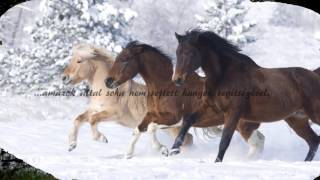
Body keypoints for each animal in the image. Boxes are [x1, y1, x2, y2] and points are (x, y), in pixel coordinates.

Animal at [62, 43, 192, 157]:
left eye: (79, 61)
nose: (64, 78)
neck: (107, 90)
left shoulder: (114, 114)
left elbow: (92, 120)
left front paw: (102, 138)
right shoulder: (94, 109)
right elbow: (78, 119)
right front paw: (71, 145)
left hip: (172, 126)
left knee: (188, 139)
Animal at [105, 41, 268, 158]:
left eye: (124, 60)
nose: (108, 82)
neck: (166, 86)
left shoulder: (174, 119)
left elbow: (151, 128)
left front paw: (163, 149)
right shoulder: (151, 114)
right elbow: (138, 129)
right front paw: (128, 154)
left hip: (242, 125)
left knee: (257, 143)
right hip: (245, 125)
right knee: (260, 140)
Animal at [172, 29, 320, 162]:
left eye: (191, 52)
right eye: (177, 52)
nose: (177, 79)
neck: (223, 76)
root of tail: (314, 75)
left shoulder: (233, 113)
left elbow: (224, 141)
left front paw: (217, 163)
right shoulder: (213, 109)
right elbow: (188, 121)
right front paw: (174, 149)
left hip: (313, 115)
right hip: (297, 120)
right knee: (314, 141)